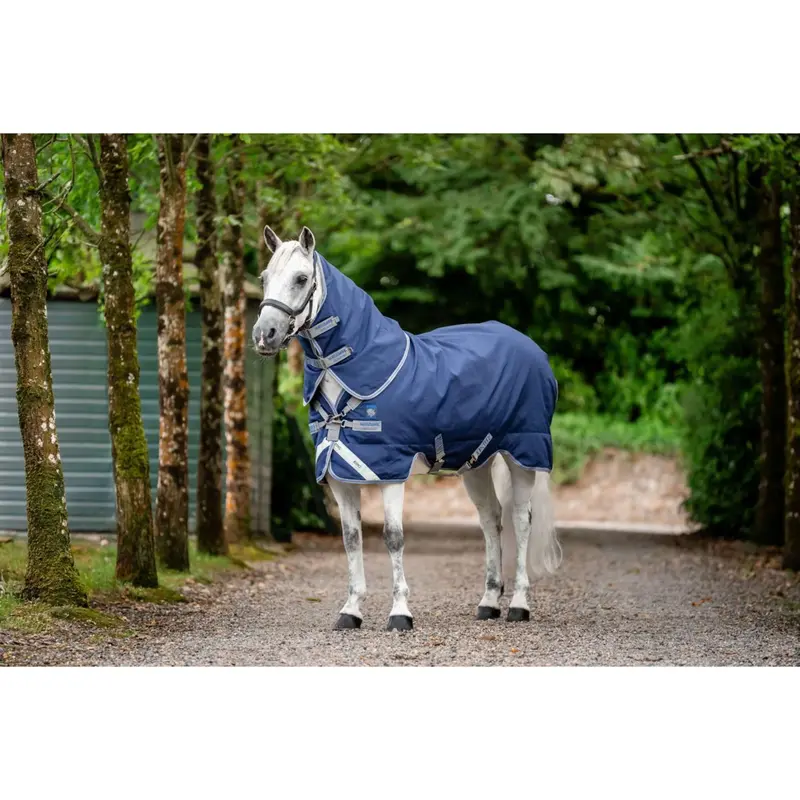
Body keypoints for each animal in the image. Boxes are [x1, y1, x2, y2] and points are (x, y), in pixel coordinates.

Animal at [252, 226, 562, 631]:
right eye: (264, 278)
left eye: (301, 278)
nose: (264, 335)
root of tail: (532, 349)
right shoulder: (339, 475)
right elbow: (351, 539)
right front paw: (350, 610)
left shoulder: (389, 472)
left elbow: (393, 537)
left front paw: (400, 612)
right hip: (477, 464)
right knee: (490, 521)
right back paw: (489, 602)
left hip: (522, 456)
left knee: (521, 522)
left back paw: (519, 605)